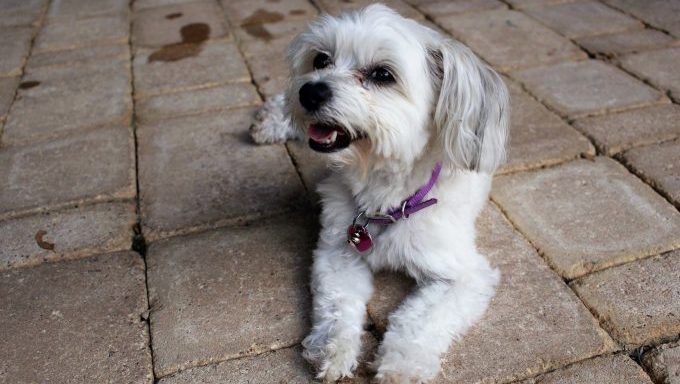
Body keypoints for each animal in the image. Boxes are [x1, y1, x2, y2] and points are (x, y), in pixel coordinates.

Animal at [250, 3, 510, 384]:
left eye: (383, 75)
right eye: (321, 59)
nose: (310, 91)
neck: (384, 197)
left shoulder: (464, 277)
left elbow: (420, 321)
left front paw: (401, 366)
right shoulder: (338, 252)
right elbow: (337, 307)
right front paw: (335, 350)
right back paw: (271, 120)